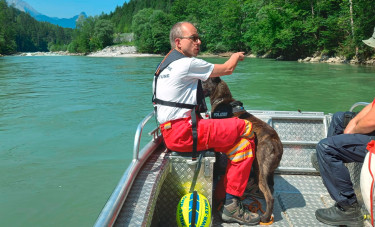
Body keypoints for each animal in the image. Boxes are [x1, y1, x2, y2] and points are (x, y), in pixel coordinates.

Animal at [204, 77, 284, 223]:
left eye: (203, 81)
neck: (222, 99)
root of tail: (275, 144)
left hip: (260, 171)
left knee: (270, 197)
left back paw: (265, 217)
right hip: (268, 172)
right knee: (271, 189)